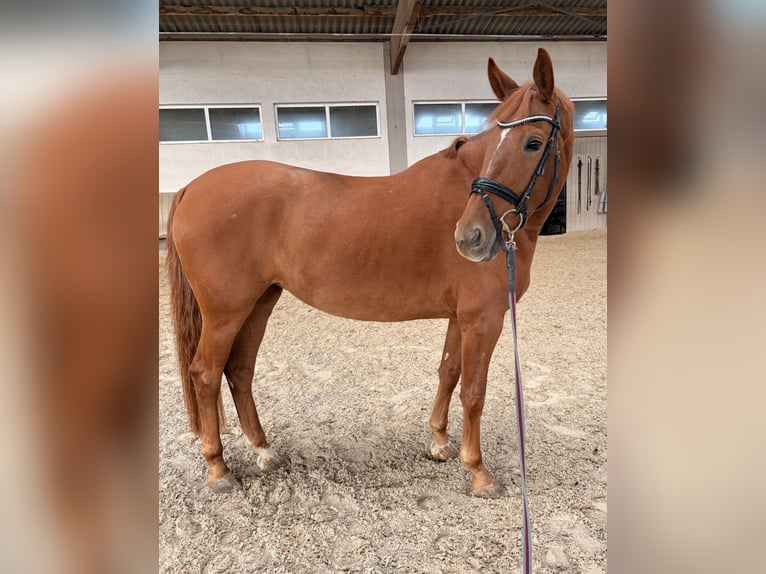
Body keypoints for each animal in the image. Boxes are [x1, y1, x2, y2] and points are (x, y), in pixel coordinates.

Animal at [166, 48, 574, 498]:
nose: (470, 238)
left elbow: (448, 372)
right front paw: (479, 472)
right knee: (205, 374)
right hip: (225, 312)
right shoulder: (483, 319)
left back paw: (264, 451)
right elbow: (473, 391)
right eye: (494, 148)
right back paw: (218, 469)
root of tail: (190, 188)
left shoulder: (460, 317)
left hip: (259, 303)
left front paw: (440, 442)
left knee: (239, 371)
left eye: (533, 142)